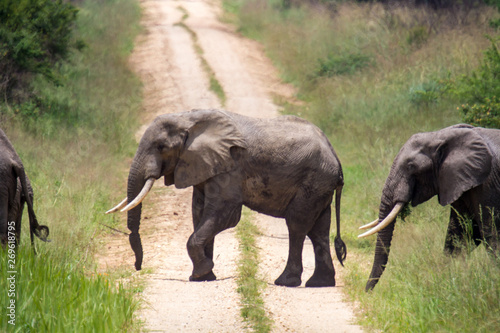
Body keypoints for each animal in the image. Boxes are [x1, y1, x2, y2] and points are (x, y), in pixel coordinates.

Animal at [107, 108, 346, 286]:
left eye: (161, 146)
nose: (138, 267)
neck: (188, 118)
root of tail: (335, 155)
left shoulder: (230, 167)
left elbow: (224, 214)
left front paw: (203, 272)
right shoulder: (205, 166)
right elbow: (198, 213)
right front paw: (203, 277)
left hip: (314, 180)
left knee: (297, 224)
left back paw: (285, 282)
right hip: (319, 185)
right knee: (318, 229)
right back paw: (319, 283)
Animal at [360, 123, 500, 290]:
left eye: (410, 166)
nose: (366, 291)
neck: (441, 135)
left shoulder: (488, 184)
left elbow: (490, 234)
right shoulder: (459, 181)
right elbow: (461, 234)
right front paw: (448, 280)